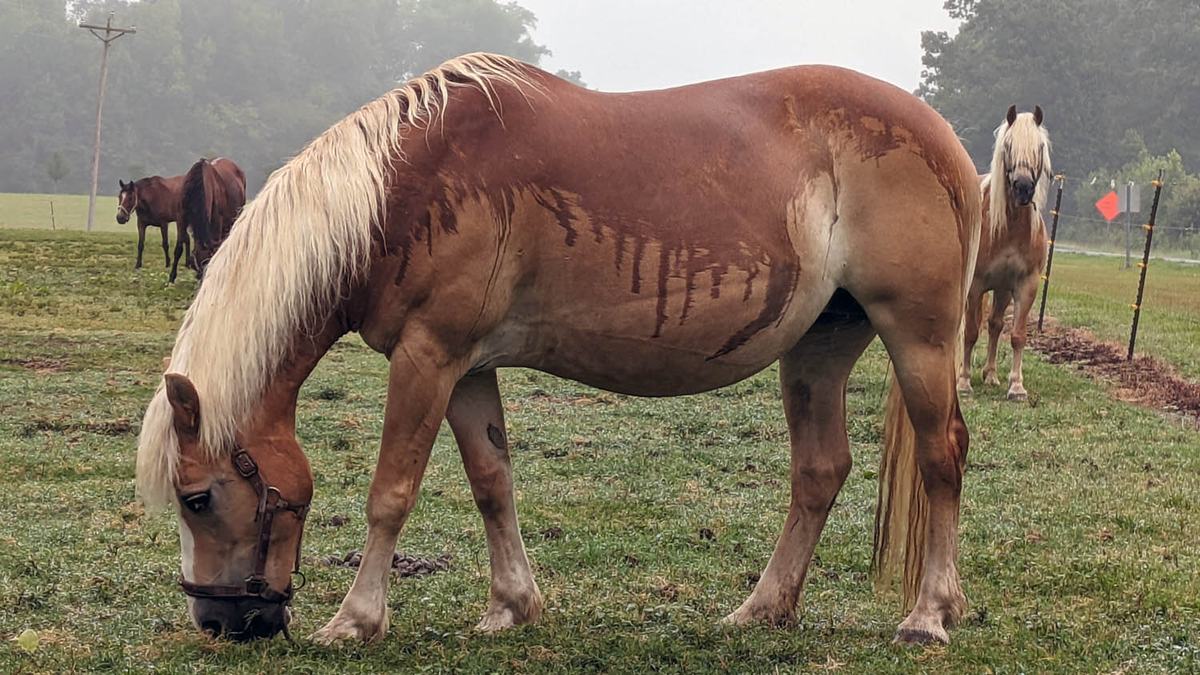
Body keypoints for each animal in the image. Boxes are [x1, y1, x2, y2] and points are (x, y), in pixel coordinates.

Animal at [136, 53, 981, 645]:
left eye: (197, 497)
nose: (220, 622)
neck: (398, 188)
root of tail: (943, 135)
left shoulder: (426, 356)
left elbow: (391, 492)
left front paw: (355, 619)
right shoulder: (466, 367)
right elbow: (491, 482)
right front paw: (512, 605)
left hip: (920, 336)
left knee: (944, 456)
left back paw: (928, 615)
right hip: (818, 346)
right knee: (819, 471)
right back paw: (763, 607)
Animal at [958, 105, 1052, 401]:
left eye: (1039, 147)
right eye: (1008, 145)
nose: (1023, 187)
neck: (1008, 228)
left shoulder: (1025, 285)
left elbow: (1017, 335)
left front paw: (1016, 386)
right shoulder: (975, 286)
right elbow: (971, 332)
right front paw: (963, 382)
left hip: (1001, 290)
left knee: (995, 324)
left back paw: (990, 375)